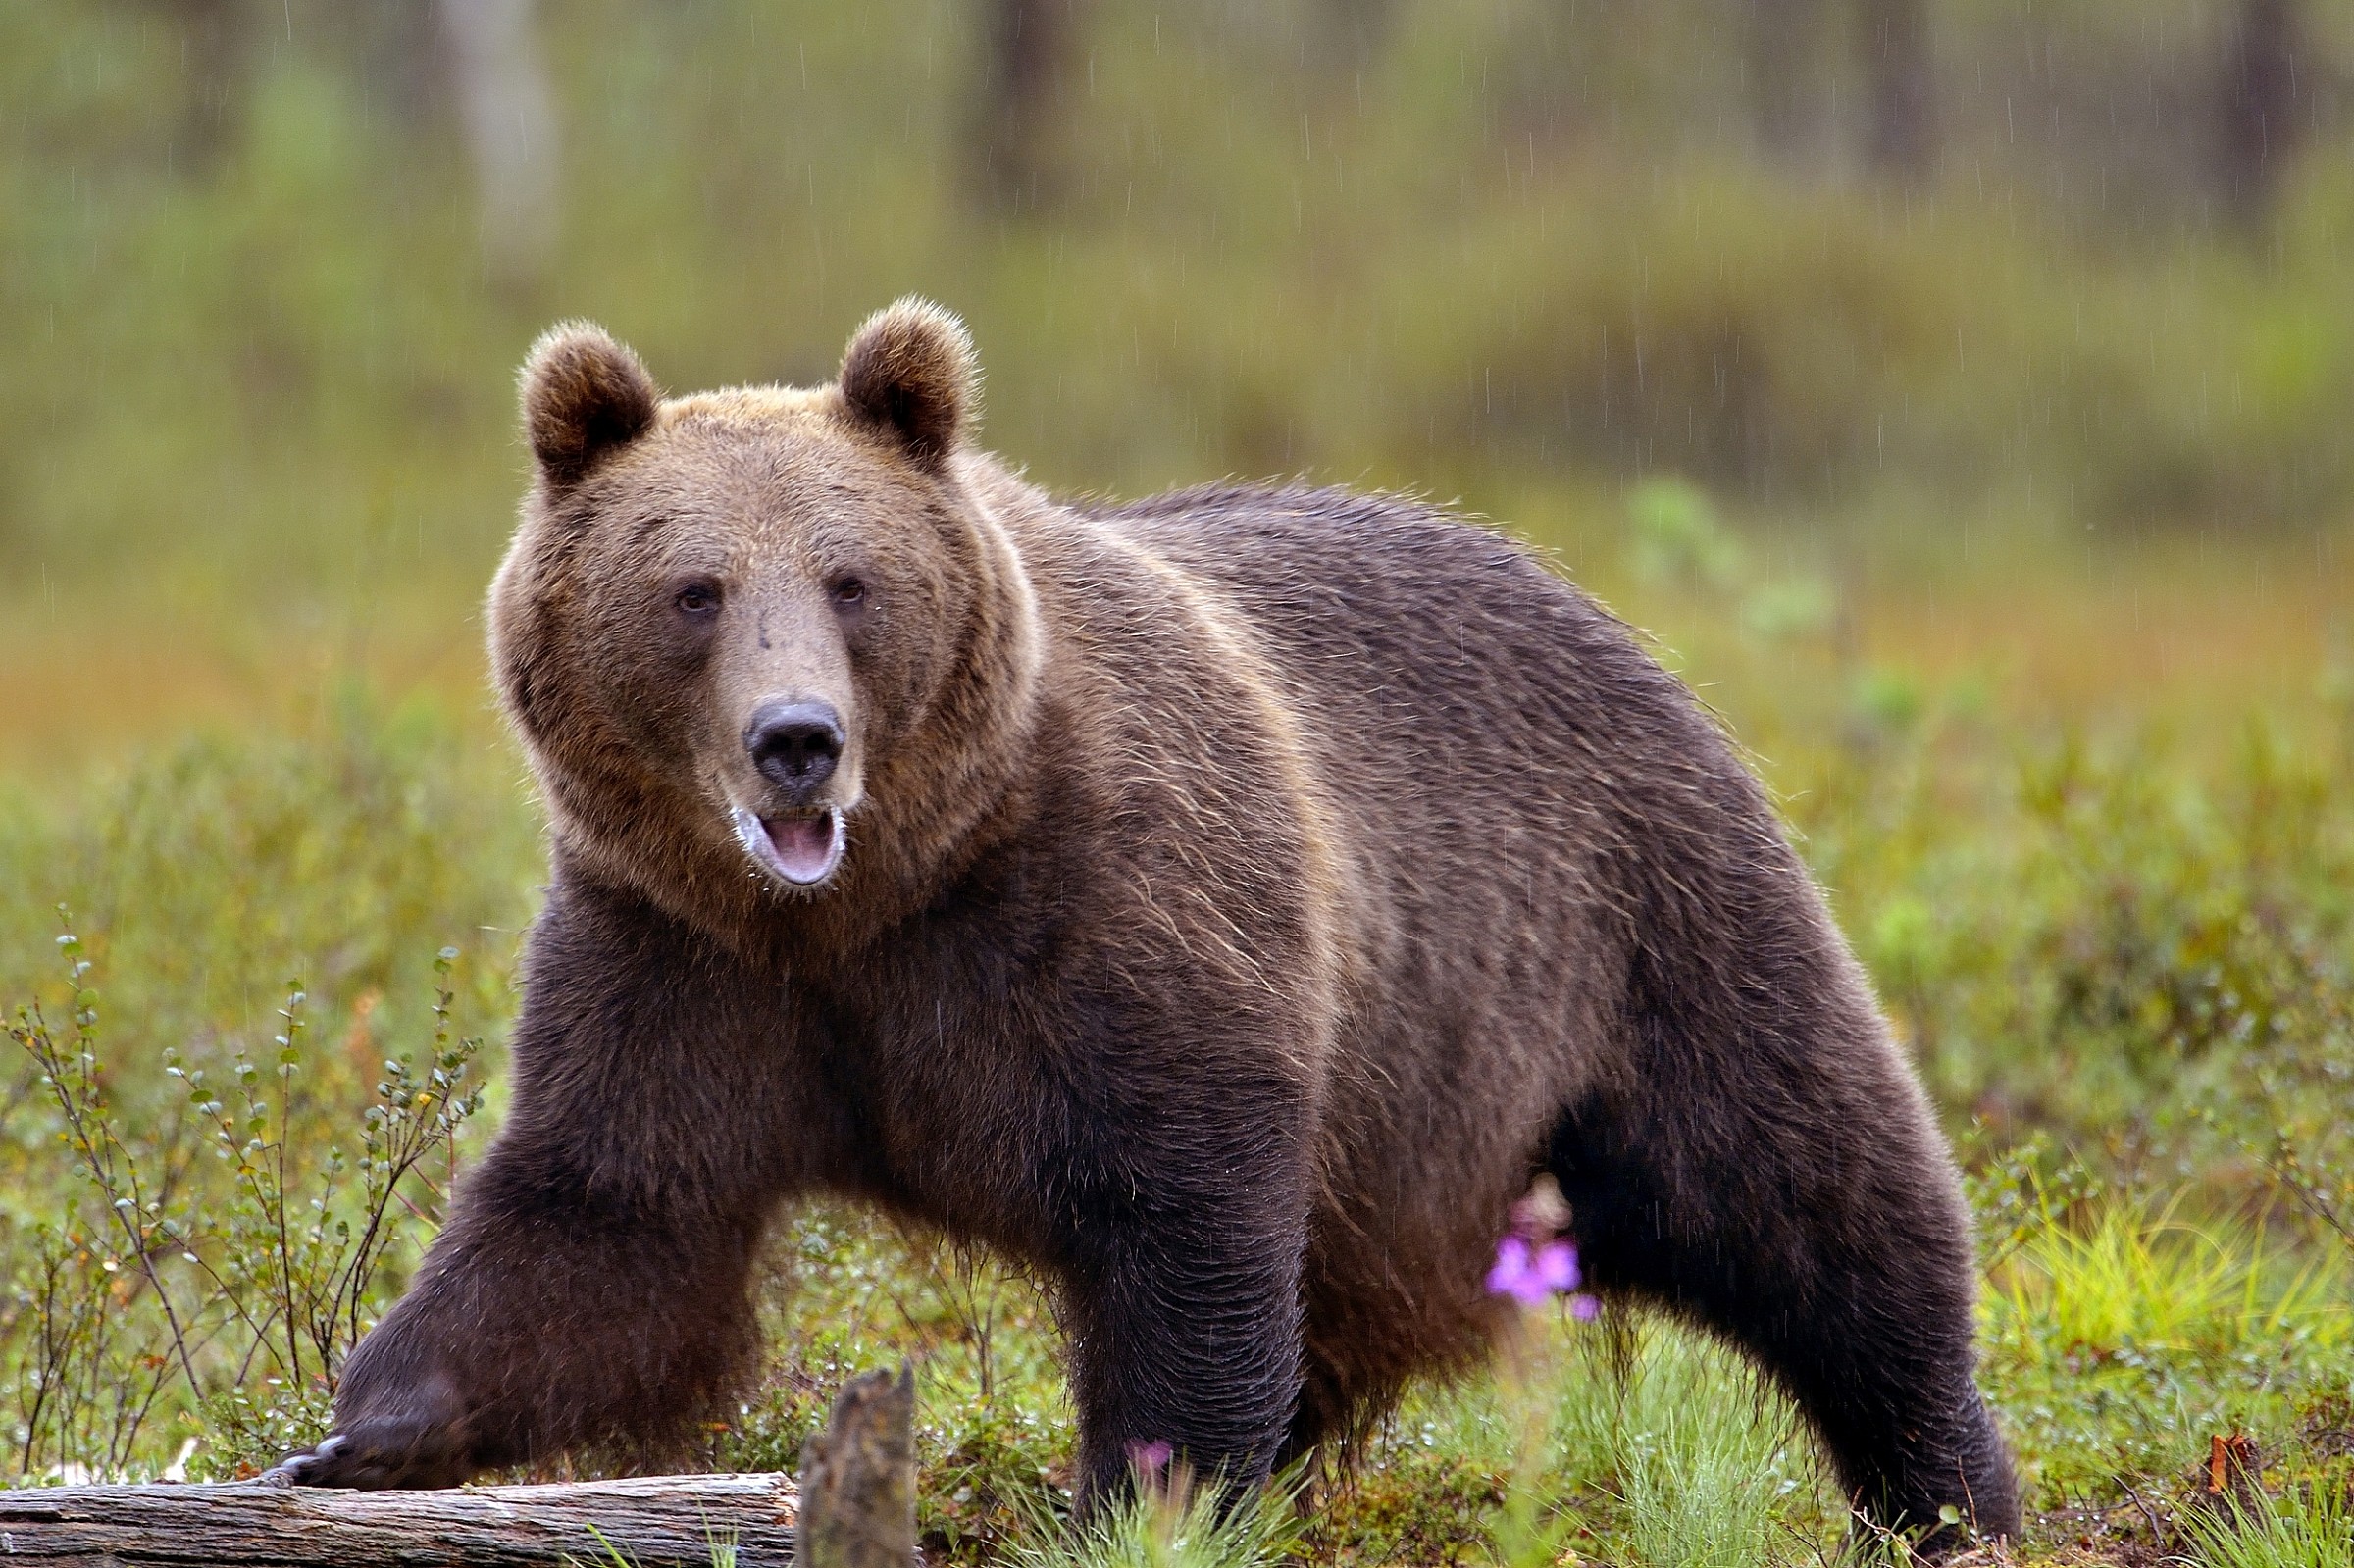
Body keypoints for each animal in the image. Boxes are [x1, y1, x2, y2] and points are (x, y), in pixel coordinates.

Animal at [268, 298, 2019, 1549]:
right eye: (693, 587)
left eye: (848, 578)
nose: (795, 740)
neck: (876, 895)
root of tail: (1590, 595)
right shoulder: (680, 951)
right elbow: (609, 1207)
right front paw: (363, 1425)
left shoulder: (1115, 902)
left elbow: (1181, 1203)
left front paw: (1143, 1492)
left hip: (1630, 915)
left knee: (1806, 1181)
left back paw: (1947, 1488)